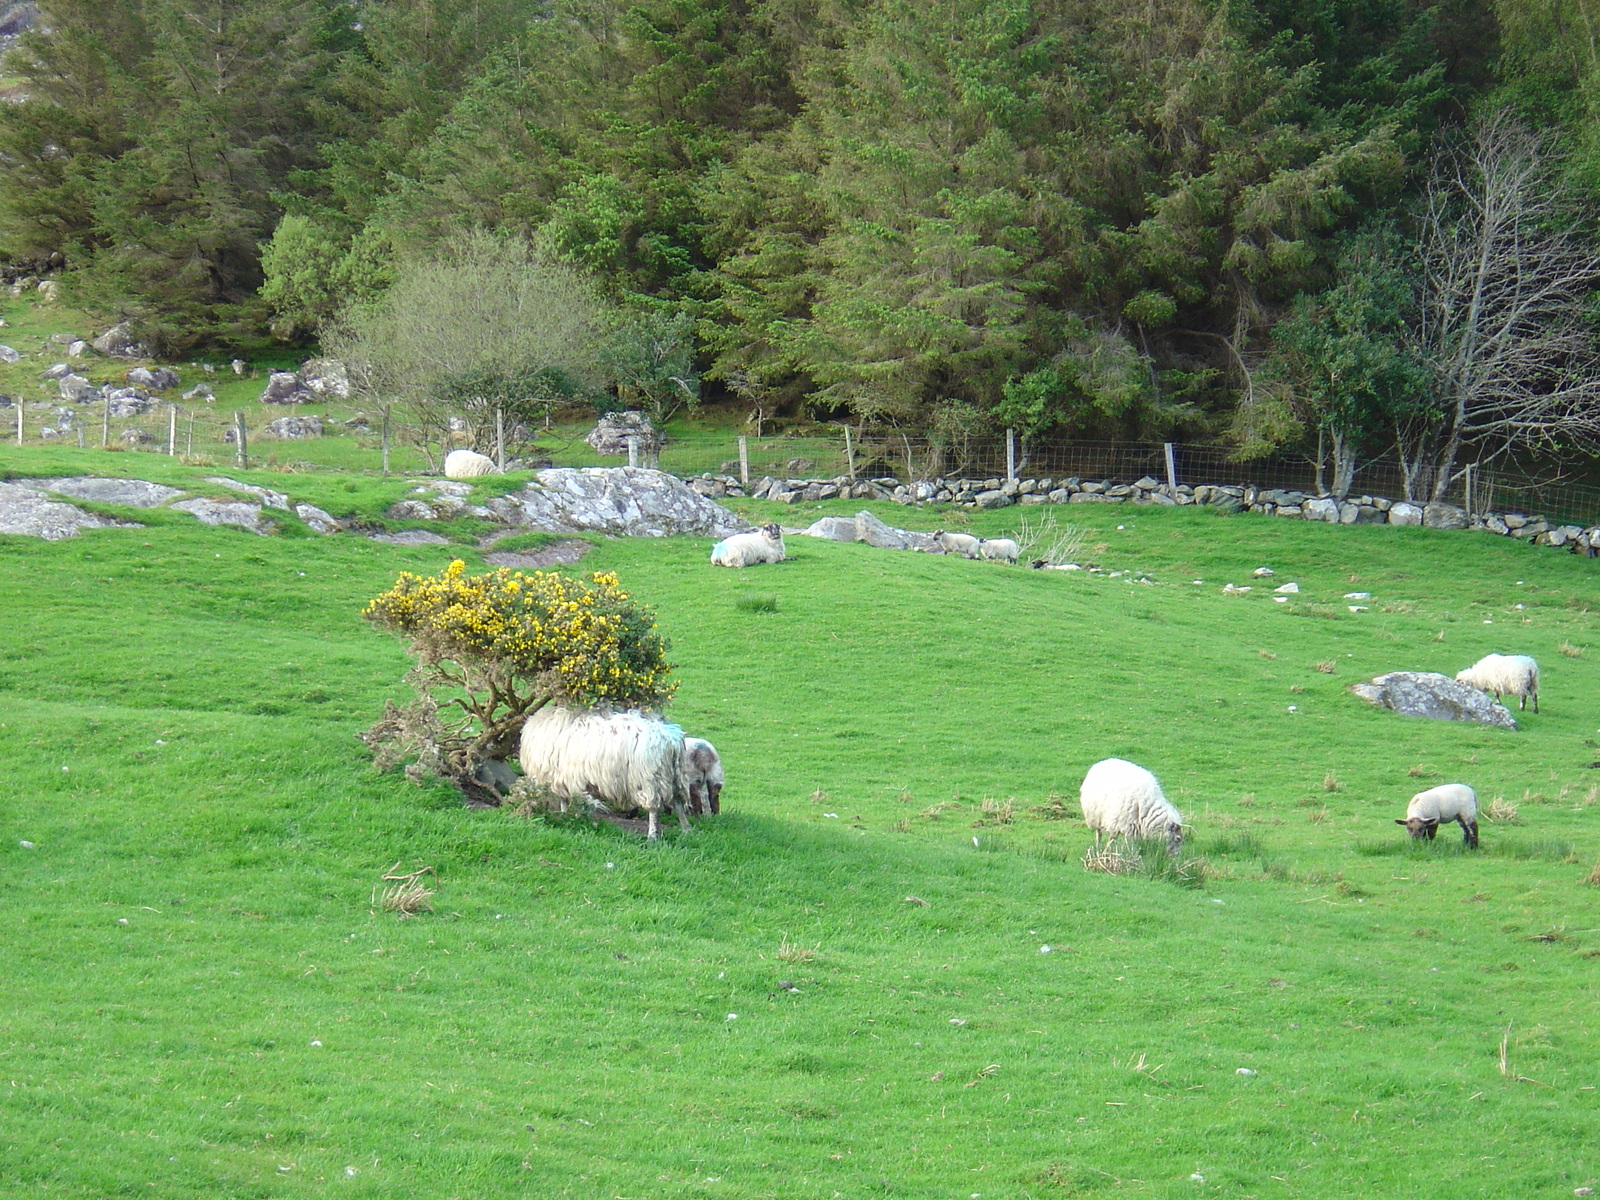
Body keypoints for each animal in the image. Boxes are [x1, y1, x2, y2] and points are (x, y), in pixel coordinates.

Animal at [521, 704, 691, 844]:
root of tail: (672, 740)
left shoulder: (566, 778)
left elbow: (572, 800)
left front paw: (573, 816)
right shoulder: (563, 779)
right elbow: (566, 799)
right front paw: (566, 815)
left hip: (649, 779)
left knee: (654, 809)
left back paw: (652, 837)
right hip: (675, 777)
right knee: (678, 803)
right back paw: (686, 829)